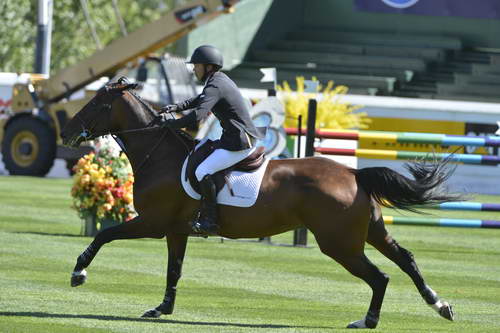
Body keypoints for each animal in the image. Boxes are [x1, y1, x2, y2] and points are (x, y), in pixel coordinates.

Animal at [60, 79, 458, 328]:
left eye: (95, 103)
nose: (66, 132)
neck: (160, 156)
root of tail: (352, 173)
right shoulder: (175, 231)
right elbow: (174, 270)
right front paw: (162, 309)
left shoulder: (152, 223)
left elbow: (104, 235)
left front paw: (79, 273)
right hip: (371, 232)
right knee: (405, 260)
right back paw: (439, 305)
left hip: (340, 244)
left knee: (380, 276)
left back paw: (369, 320)